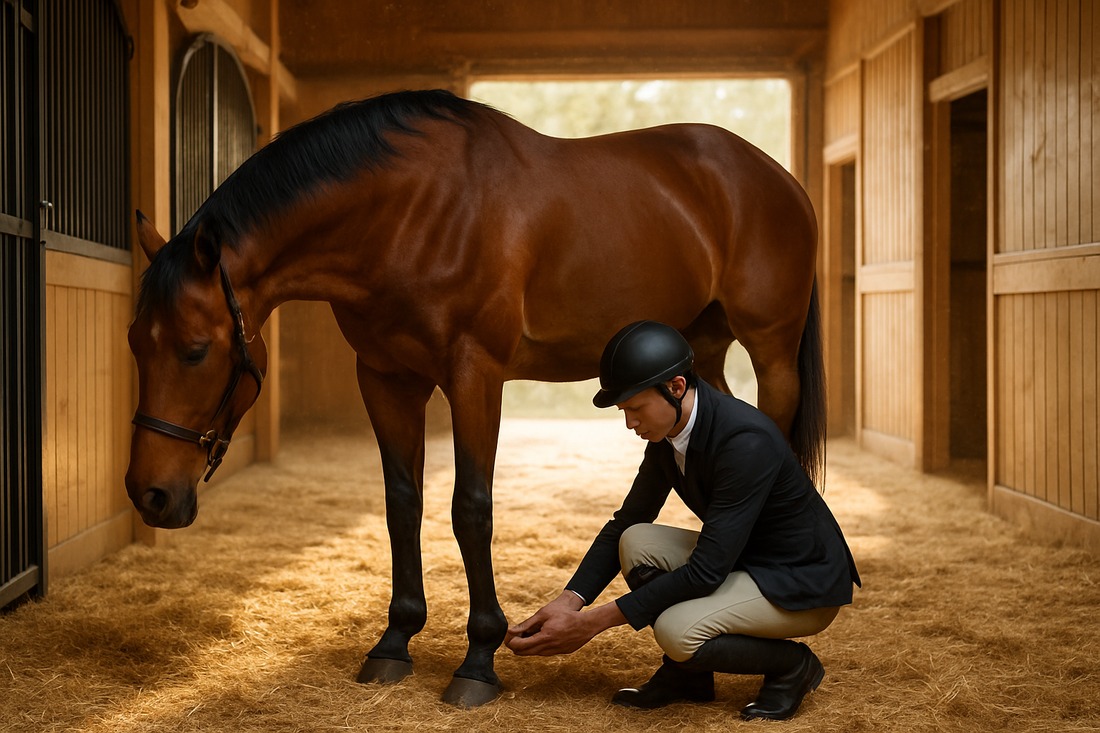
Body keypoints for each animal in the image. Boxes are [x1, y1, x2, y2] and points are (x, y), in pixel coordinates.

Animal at [125, 89, 823, 707]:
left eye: (195, 350)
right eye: (134, 342)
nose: (148, 494)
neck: (409, 212)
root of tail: (777, 178)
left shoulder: (474, 374)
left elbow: (471, 509)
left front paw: (479, 660)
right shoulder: (386, 377)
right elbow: (402, 504)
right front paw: (394, 642)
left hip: (771, 350)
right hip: (702, 347)